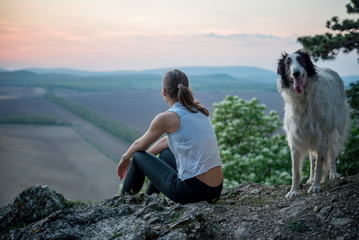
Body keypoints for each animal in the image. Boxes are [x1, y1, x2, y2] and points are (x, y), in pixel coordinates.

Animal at [278, 49, 350, 199]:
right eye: (288, 63)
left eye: (300, 60)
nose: (296, 73)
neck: (302, 100)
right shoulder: (295, 138)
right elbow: (296, 171)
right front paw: (293, 191)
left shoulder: (322, 136)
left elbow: (320, 165)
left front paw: (316, 186)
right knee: (312, 159)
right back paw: (310, 178)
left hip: (335, 130)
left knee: (332, 153)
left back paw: (333, 173)